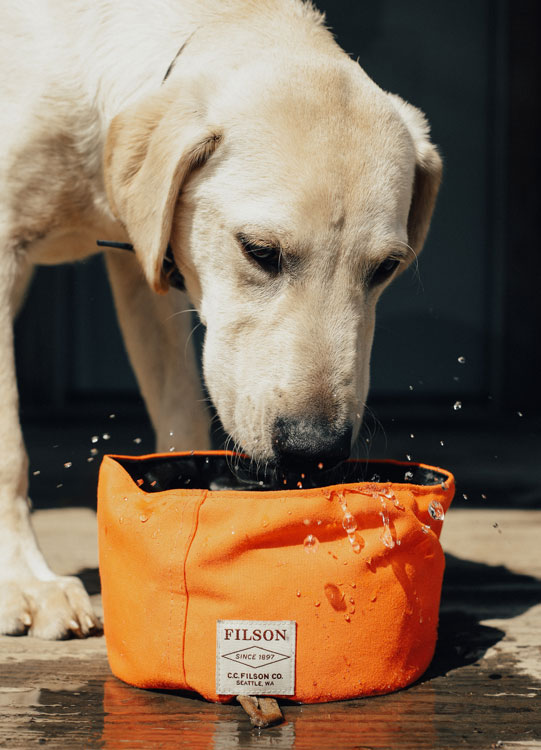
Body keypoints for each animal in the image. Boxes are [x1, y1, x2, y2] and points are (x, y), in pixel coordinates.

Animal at [0, 1, 438, 640]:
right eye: (259, 251)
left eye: (386, 267)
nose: (314, 449)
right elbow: (10, 447)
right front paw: (26, 582)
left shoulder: (146, 260)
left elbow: (180, 408)